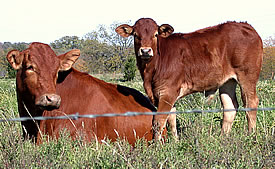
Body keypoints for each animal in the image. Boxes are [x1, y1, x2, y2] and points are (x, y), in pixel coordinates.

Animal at [116, 17, 264, 141]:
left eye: (155, 34)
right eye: (136, 35)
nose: (146, 51)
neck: (150, 72)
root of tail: (246, 26)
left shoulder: (167, 92)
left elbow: (159, 121)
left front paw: (157, 146)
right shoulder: (165, 94)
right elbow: (171, 119)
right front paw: (175, 142)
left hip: (247, 77)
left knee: (251, 104)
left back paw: (251, 136)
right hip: (228, 82)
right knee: (230, 107)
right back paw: (222, 138)